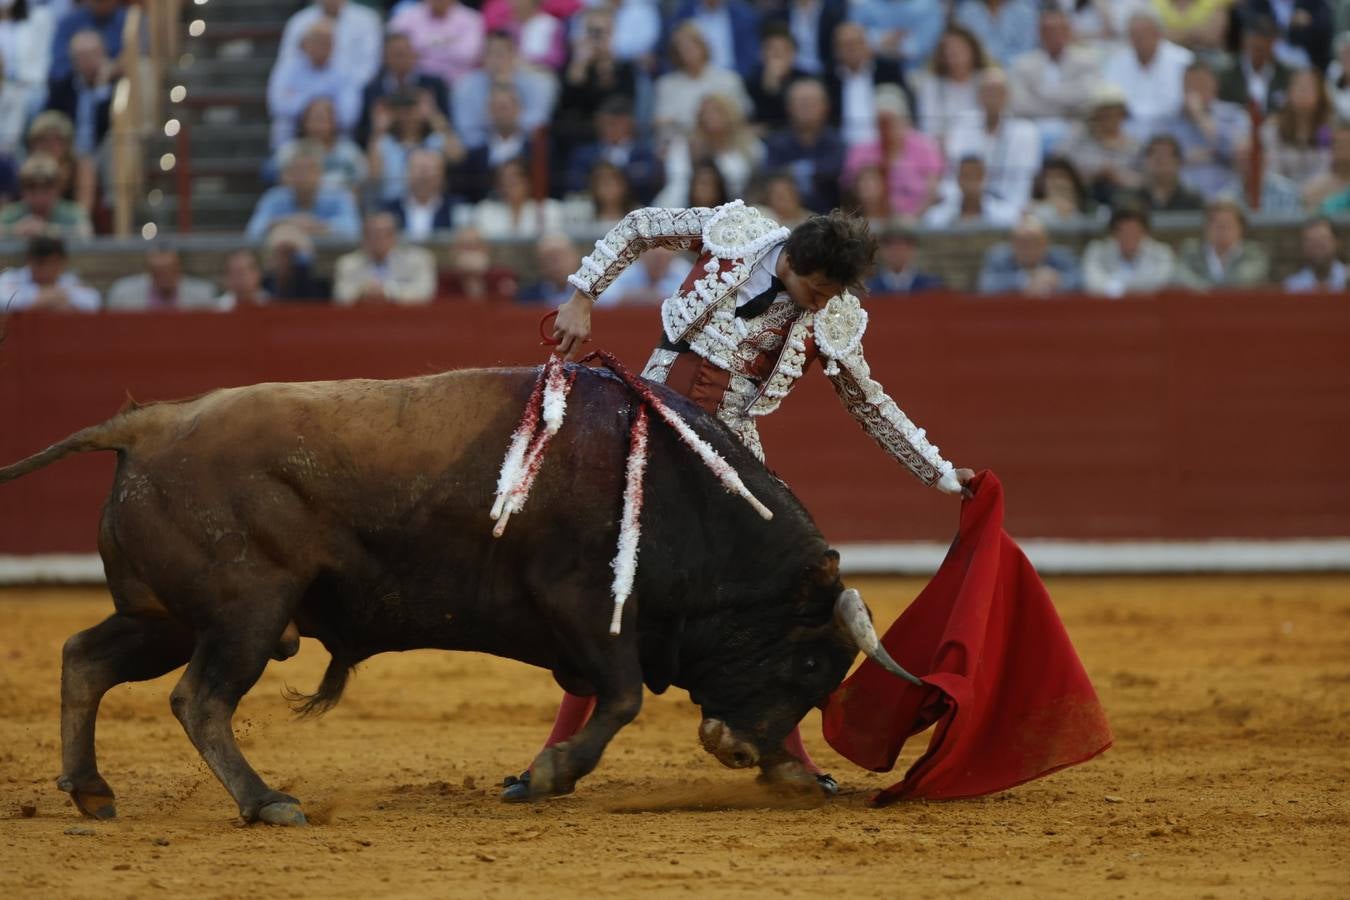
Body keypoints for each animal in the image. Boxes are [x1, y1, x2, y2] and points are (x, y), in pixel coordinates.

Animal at [0, 364, 912, 825]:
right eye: (809, 661)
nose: (737, 747)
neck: (678, 486)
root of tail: (147, 422)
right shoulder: (586, 606)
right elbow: (619, 698)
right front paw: (545, 777)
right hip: (243, 614)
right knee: (199, 699)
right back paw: (266, 803)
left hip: (162, 616)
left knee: (85, 658)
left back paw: (91, 790)